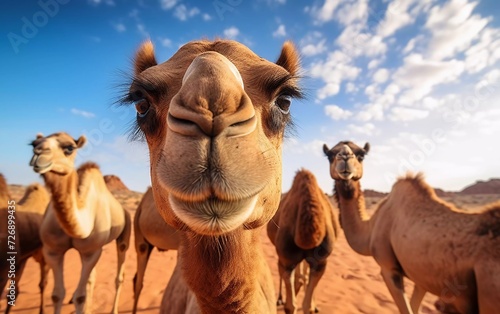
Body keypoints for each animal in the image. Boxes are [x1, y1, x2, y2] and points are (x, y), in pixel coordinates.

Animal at [29, 133, 131, 314]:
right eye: (33, 144)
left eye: (70, 148)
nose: (39, 154)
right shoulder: (52, 251)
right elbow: (57, 295)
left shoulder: (91, 251)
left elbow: (80, 297)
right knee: (91, 278)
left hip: (125, 231)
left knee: (119, 274)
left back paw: (113, 309)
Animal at [268, 169, 338, 314]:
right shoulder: (286, 260)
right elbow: (290, 306)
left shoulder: (321, 263)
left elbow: (307, 305)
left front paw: (313, 305)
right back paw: (280, 298)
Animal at [322, 142, 500, 314]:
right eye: (330, 155)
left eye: (361, 155)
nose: (345, 156)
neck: (370, 228)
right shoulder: (421, 279)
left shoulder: (388, 268)